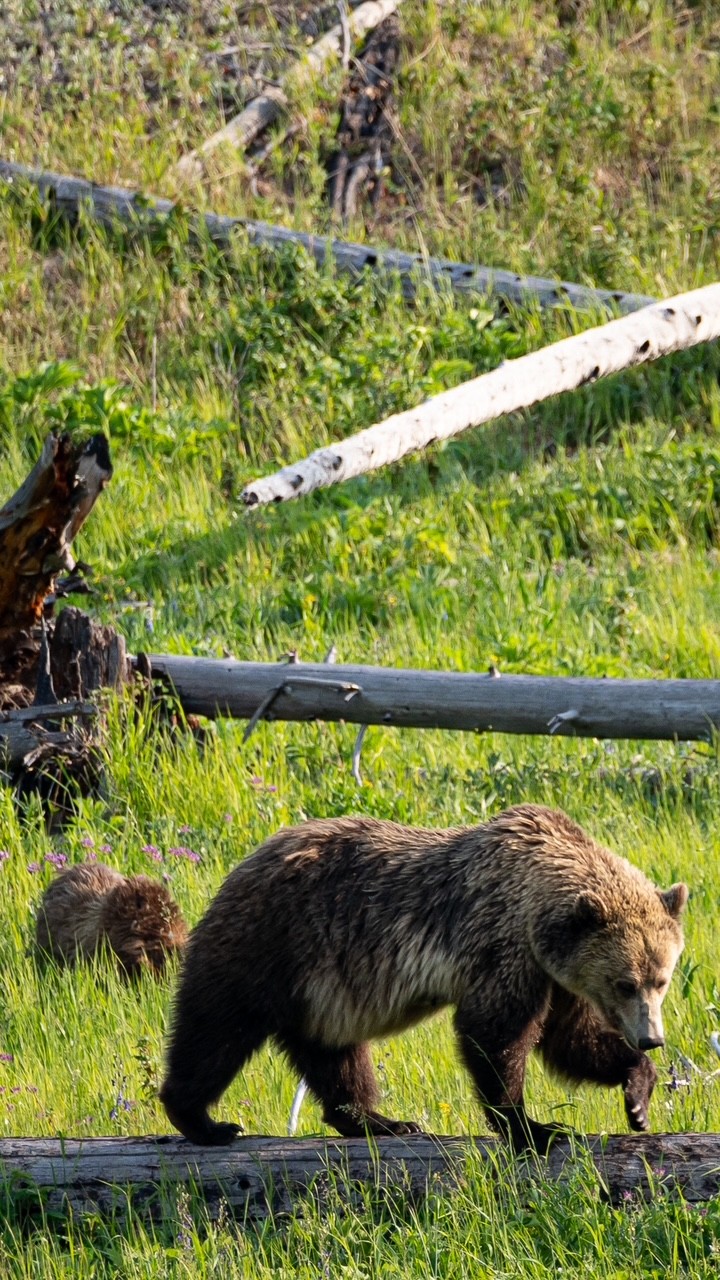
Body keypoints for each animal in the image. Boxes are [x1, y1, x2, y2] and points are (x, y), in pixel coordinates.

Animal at [159, 804, 688, 1151]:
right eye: (625, 982)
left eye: (660, 980)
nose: (652, 1037)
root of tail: (244, 861)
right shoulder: (503, 945)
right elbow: (495, 1033)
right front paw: (534, 1129)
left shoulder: (554, 972)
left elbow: (569, 1039)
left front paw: (637, 1097)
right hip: (269, 941)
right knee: (216, 1028)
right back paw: (203, 1120)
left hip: (323, 990)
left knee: (334, 1051)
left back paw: (378, 1120)